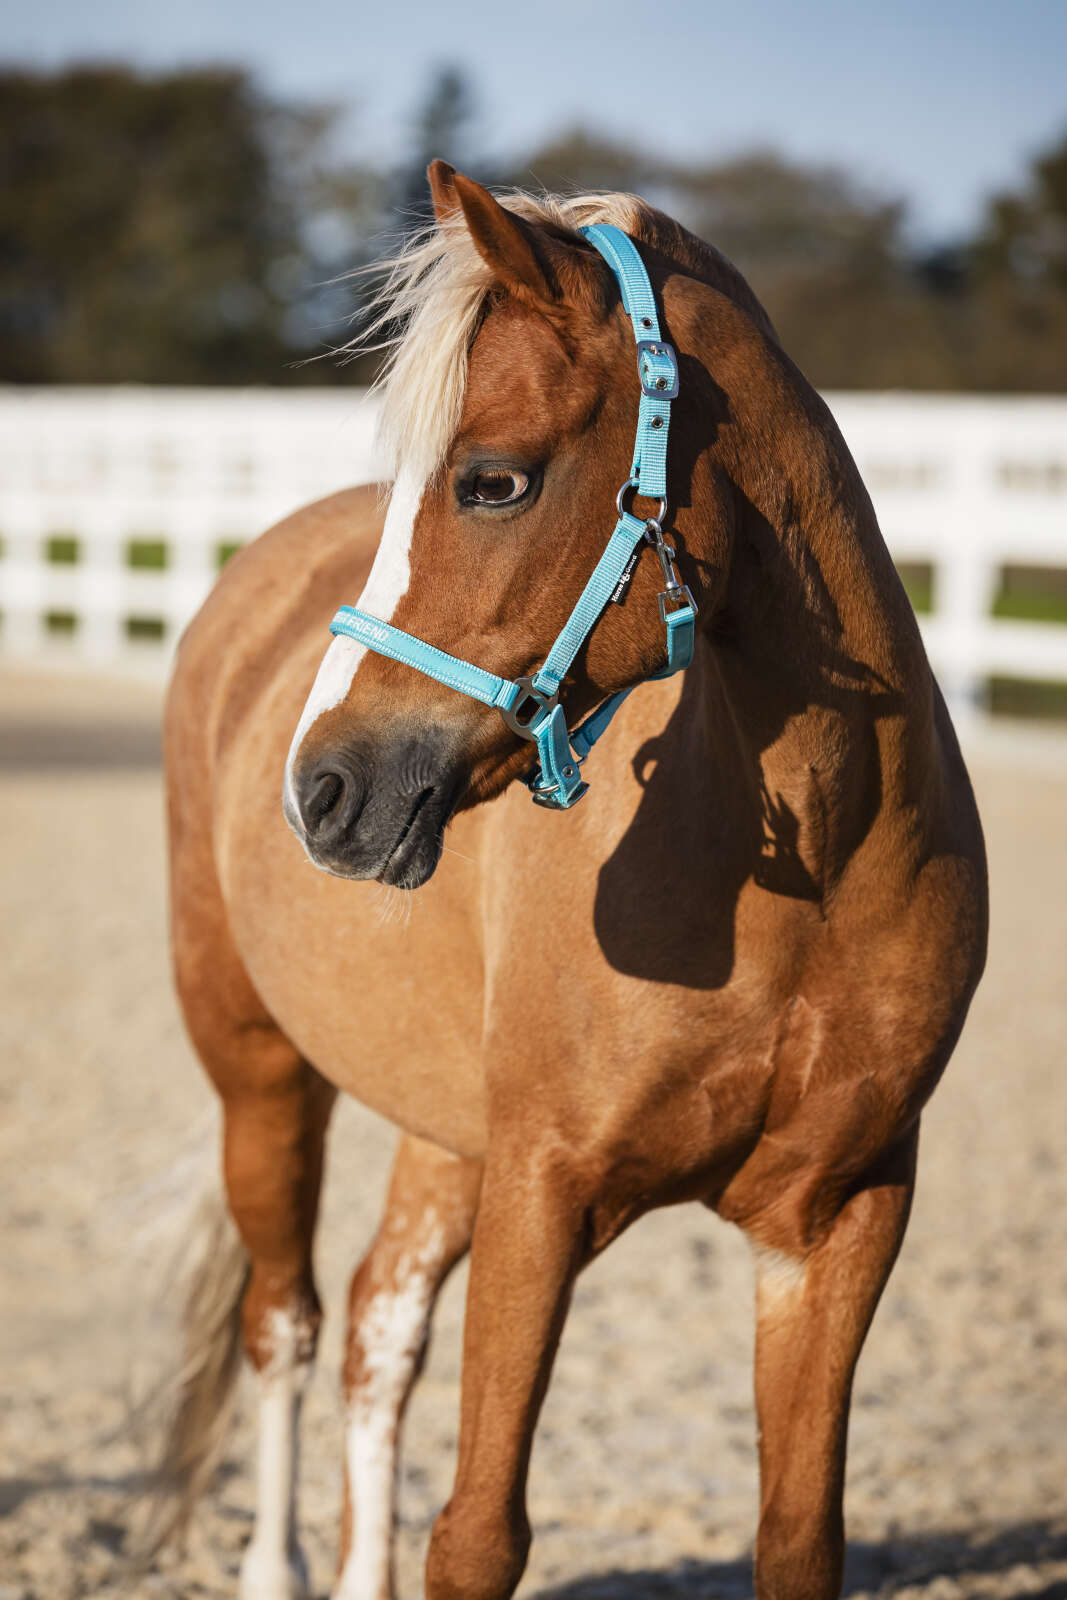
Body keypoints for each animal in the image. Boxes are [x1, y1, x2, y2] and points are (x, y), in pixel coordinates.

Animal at [159, 160, 988, 1600]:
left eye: (492, 481)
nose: (319, 788)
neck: (814, 876)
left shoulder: (837, 1218)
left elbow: (796, 1534)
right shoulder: (541, 1194)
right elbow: (477, 1535)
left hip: (441, 1130)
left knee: (374, 1328)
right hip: (257, 1074)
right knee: (287, 1324)